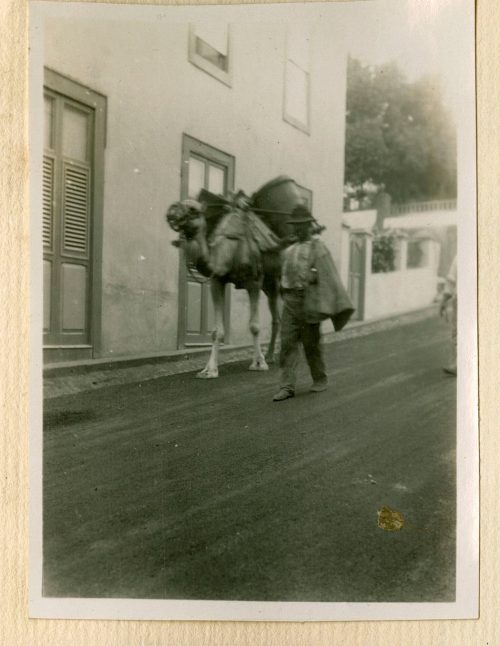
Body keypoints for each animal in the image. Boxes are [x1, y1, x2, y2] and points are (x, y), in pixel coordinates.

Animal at [166, 177, 304, 380]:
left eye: (193, 209)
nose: (171, 211)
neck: (229, 249)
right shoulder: (218, 281)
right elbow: (216, 331)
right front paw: (209, 370)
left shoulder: (253, 281)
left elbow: (254, 326)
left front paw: (258, 363)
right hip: (270, 284)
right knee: (277, 319)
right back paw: (272, 355)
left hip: (285, 280)